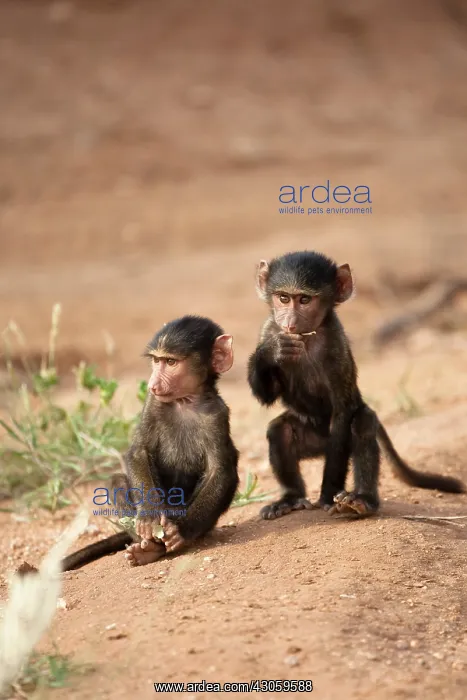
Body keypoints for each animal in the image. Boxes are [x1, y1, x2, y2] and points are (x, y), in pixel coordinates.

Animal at [61, 316, 239, 570]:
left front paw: (180, 532)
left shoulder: (217, 415)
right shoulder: (152, 403)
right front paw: (148, 516)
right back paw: (148, 548)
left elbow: (220, 471)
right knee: (117, 481)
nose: (152, 383)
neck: (185, 401)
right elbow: (139, 452)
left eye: (171, 362)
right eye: (156, 360)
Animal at [247, 250, 465, 520]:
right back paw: (291, 499)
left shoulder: (335, 344)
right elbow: (267, 395)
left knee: (362, 422)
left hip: (334, 440)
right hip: (312, 439)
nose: (289, 323)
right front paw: (274, 351)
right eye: (283, 298)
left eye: (305, 299)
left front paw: (328, 496)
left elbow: (342, 410)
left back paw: (363, 500)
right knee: (280, 431)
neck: (307, 339)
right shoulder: (268, 330)